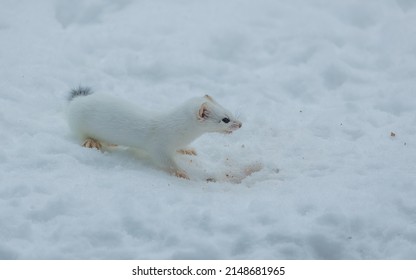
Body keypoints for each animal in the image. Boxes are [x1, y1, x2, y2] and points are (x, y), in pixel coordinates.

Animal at [66, 87, 242, 179]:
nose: (240, 124)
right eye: (225, 119)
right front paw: (181, 171)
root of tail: (77, 101)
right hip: (79, 124)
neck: (181, 134)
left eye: (229, 110)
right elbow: (164, 161)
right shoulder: (159, 146)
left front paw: (188, 150)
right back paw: (92, 142)